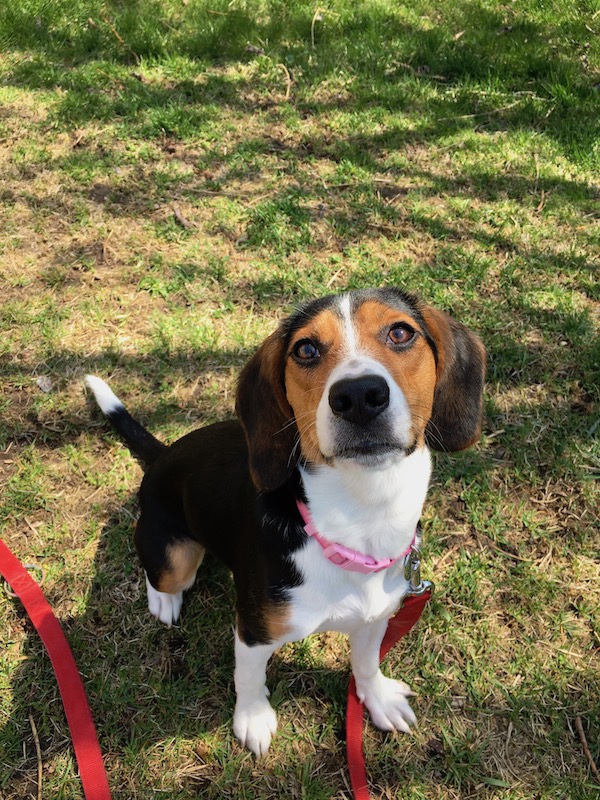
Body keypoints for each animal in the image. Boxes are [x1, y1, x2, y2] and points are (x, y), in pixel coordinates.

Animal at [86, 287, 485, 758]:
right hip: (172, 557)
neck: (360, 516)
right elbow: (249, 678)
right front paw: (253, 720)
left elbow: (366, 663)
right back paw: (165, 600)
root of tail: (163, 454)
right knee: (163, 574)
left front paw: (376, 698)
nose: (359, 395)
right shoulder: (254, 632)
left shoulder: (376, 619)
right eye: (306, 349)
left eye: (401, 332)